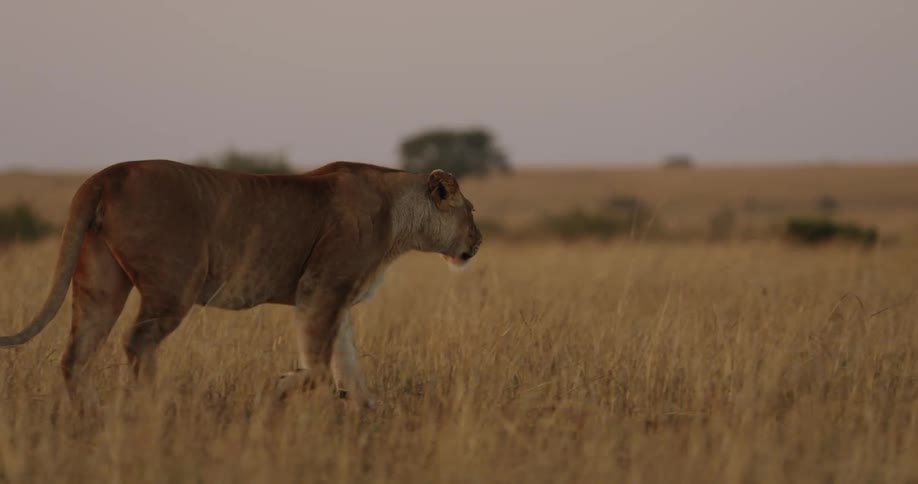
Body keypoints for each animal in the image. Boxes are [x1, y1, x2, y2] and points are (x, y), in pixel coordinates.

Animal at [0, 159, 482, 410]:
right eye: (471, 210)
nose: (478, 241)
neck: (401, 216)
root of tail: (104, 174)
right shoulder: (320, 287)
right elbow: (320, 367)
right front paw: (283, 387)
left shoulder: (337, 298)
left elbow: (348, 361)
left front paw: (370, 410)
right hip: (175, 283)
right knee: (137, 344)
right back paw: (157, 407)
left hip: (100, 281)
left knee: (75, 355)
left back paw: (92, 417)